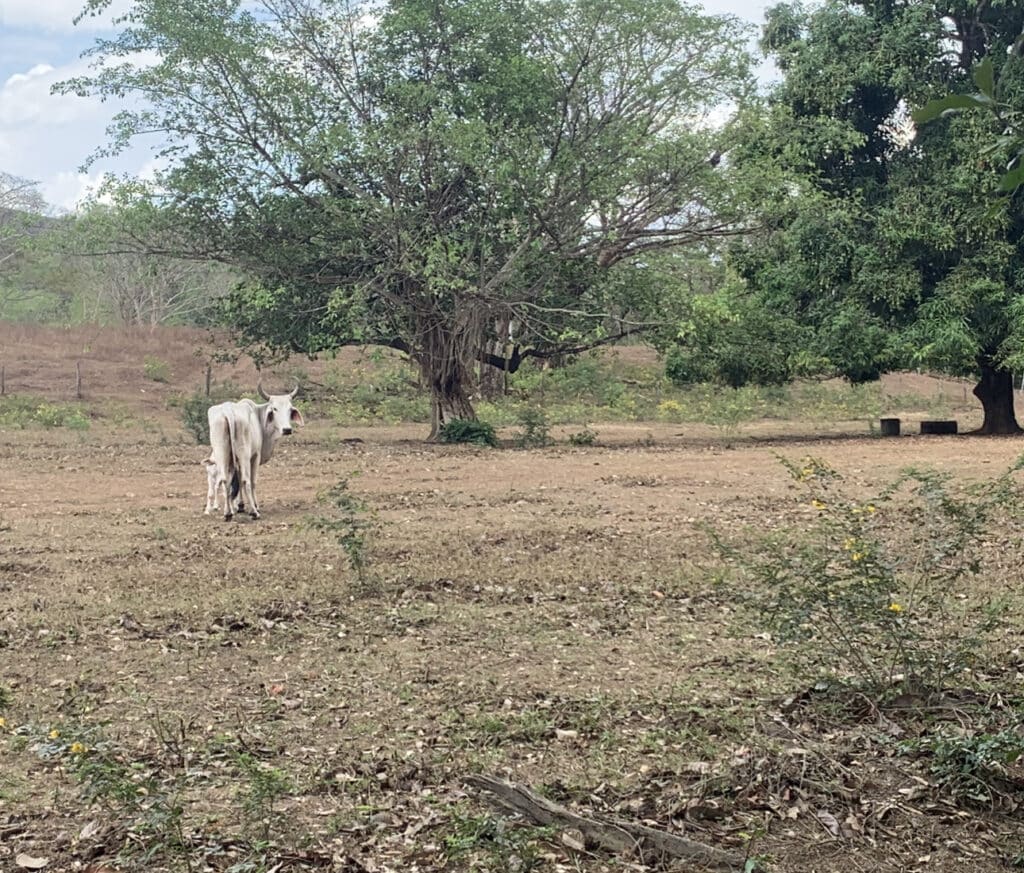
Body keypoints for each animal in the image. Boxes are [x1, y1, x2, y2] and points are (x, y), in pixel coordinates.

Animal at [203, 380, 303, 517]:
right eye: (274, 409)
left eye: (290, 409)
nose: (287, 429)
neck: (258, 416)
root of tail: (228, 410)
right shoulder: (255, 455)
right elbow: (252, 480)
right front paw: (254, 505)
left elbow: (237, 481)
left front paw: (239, 506)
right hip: (244, 454)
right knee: (246, 480)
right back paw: (254, 512)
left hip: (221, 453)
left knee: (224, 479)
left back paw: (228, 513)